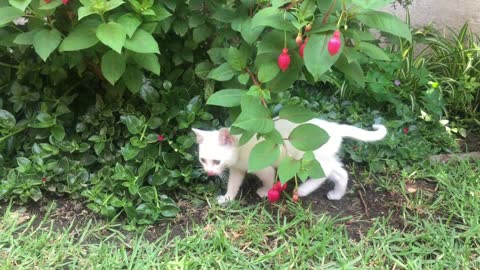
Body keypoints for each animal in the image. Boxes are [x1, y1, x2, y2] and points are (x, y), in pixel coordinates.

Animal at [191, 118, 386, 205]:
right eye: (203, 160)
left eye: (216, 161)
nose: (209, 172)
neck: (240, 144)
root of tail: (333, 127)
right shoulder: (237, 169)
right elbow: (233, 184)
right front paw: (227, 198)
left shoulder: (263, 166)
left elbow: (269, 178)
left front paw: (265, 191)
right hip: (325, 157)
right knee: (340, 172)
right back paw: (337, 194)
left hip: (309, 158)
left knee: (324, 172)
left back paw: (304, 189)